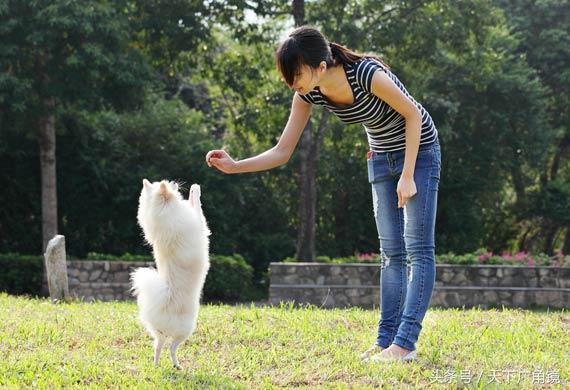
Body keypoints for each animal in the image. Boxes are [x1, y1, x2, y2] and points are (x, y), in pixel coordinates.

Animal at [131, 180, 211, 368]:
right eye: (168, 183)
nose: (175, 182)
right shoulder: (198, 220)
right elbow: (196, 204)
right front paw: (195, 189)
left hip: (159, 334)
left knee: (158, 346)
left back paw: (156, 365)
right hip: (186, 330)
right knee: (172, 348)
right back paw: (177, 364)